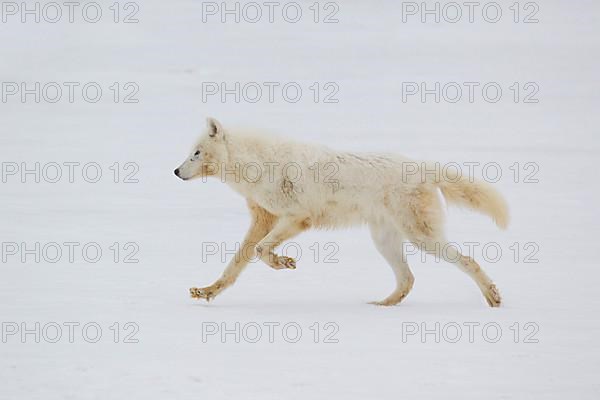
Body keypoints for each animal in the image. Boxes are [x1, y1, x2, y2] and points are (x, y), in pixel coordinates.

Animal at [176, 117, 508, 308]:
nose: (176, 171)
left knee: (467, 260)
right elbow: (234, 265)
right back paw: (381, 305)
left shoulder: (298, 218)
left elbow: (260, 251)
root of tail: (422, 166)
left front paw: (284, 262)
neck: (257, 166)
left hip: (422, 239)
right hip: (386, 242)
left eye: (196, 153)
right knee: (408, 279)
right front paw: (207, 291)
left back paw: (493, 298)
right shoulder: (263, 219)